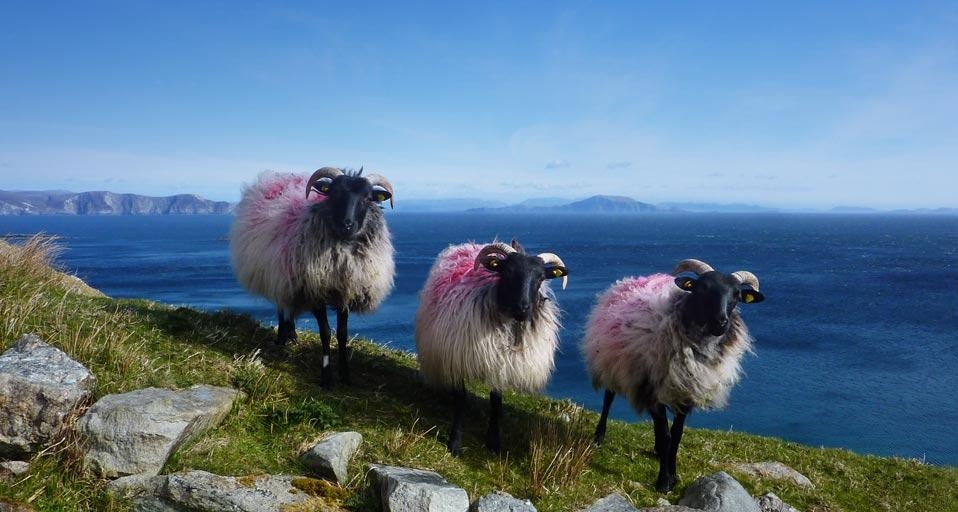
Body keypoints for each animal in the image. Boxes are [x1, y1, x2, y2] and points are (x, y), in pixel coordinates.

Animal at [230, 167, 395, 388]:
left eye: (368, 198)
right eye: (334, 193)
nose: (347, 224)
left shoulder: (345, 291)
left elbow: (342, 334)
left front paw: (345, 374)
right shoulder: (314, 291)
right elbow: (325, 333)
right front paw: (326, 376)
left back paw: (292, 335)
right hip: (279, 271)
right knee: (281, 305)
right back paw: (283, 337)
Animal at [415, 239, 569, 455]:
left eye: (540, 278)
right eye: (508, 272)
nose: (523, 309)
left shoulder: (501, 363)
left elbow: (496, 403)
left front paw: (494, 442)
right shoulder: (457, 358)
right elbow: (461, 400)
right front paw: (455, 442)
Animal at [583, 258, 765, 493]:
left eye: (737, 295)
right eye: (702, 288)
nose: (721, 322)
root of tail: (628, 281)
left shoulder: (687, 389)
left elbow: (676, 434)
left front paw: (674, 475)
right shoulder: (651, 384)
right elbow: (667, 435)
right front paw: (663, 481)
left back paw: (657, 450)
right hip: (612, 363)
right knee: (608, 399)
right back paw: (599, 436)